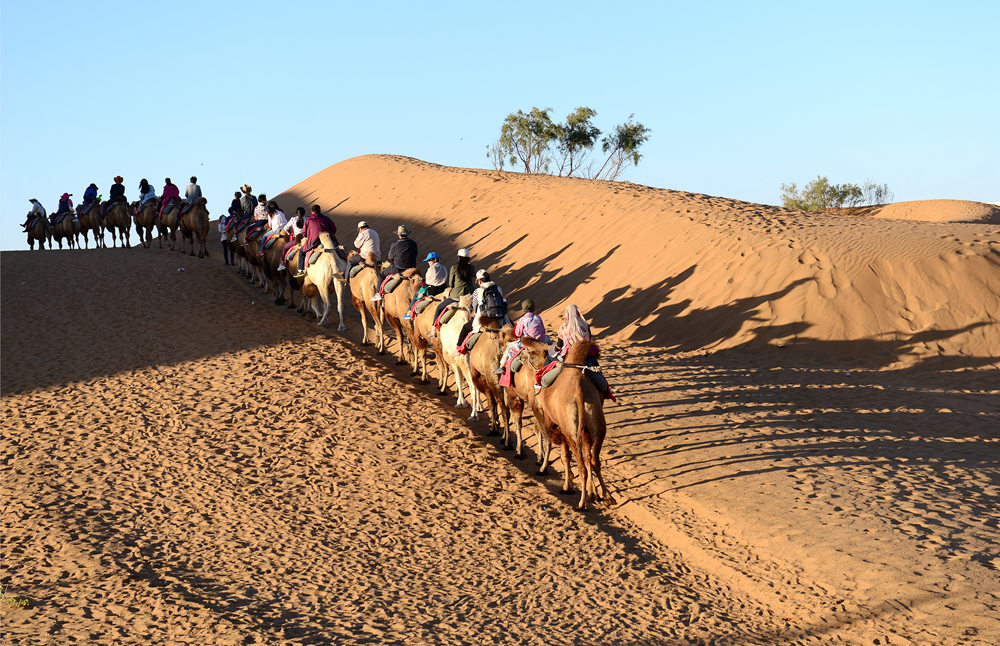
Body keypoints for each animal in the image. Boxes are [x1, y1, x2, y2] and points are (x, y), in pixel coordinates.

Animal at [500, 336, 556, 474]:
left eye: (531, 353)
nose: (520, 357)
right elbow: (536, 428)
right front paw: (539, 457)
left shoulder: (513, 395)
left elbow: (516, 422)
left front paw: (519, 450)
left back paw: (543, 469)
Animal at [536, 342, 612, 512]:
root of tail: (579, 392)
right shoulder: (584, 432)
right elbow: (588, 458)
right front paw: (593, 493)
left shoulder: (559, 429)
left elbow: (565, 457)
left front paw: (567, 486)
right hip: (597, 425)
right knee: (594, 460)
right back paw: (607, 497)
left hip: (570, 430)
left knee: (582, 466)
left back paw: (582, 504)